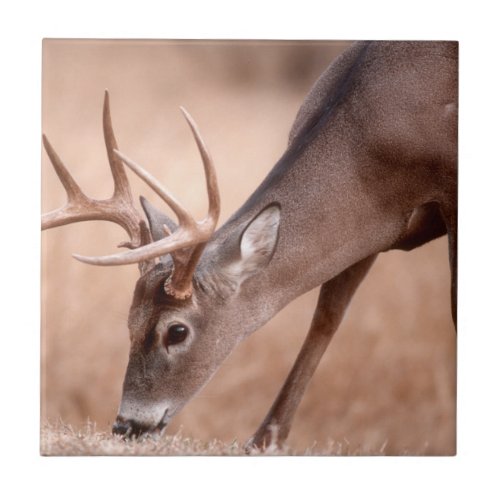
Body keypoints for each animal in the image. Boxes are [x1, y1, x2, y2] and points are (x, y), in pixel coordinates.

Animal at [42, 42, 458, 450]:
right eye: (129, 321)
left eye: (176, 331)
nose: (126, 425)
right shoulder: (369, 229)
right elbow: (326, 318)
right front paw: (265, 439)